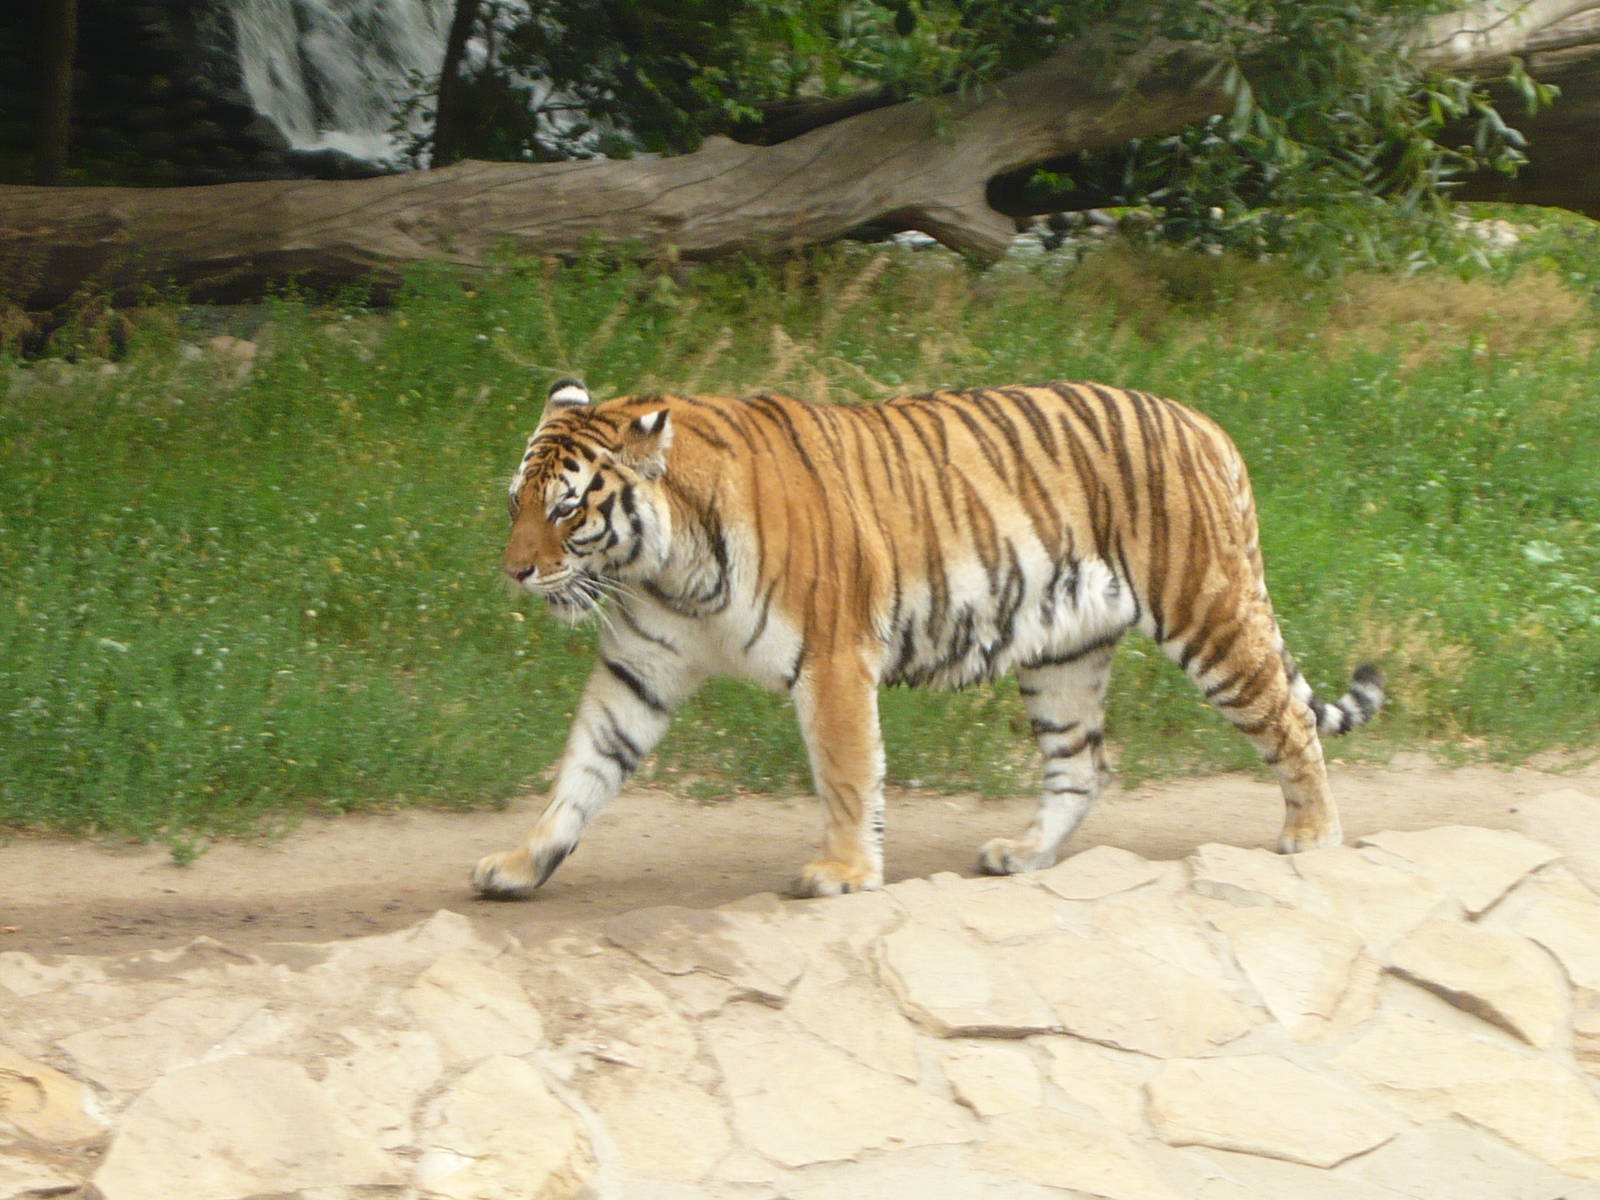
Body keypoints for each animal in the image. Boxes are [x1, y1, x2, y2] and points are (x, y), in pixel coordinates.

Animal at [471, 377, 1384, 899]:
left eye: (567, 509)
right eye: (517, 501)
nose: (513, 572)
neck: (664, 567)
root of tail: (1207, 426)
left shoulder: (832, 658)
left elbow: (846, 773)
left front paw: (843, 872)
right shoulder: (641, 666)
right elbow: (584, 767)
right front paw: (519, 863)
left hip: (1207, 611)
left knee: (1288, 721)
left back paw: (1311, 834)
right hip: (1063, 654)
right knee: (1082, 765)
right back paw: (1023, 853)